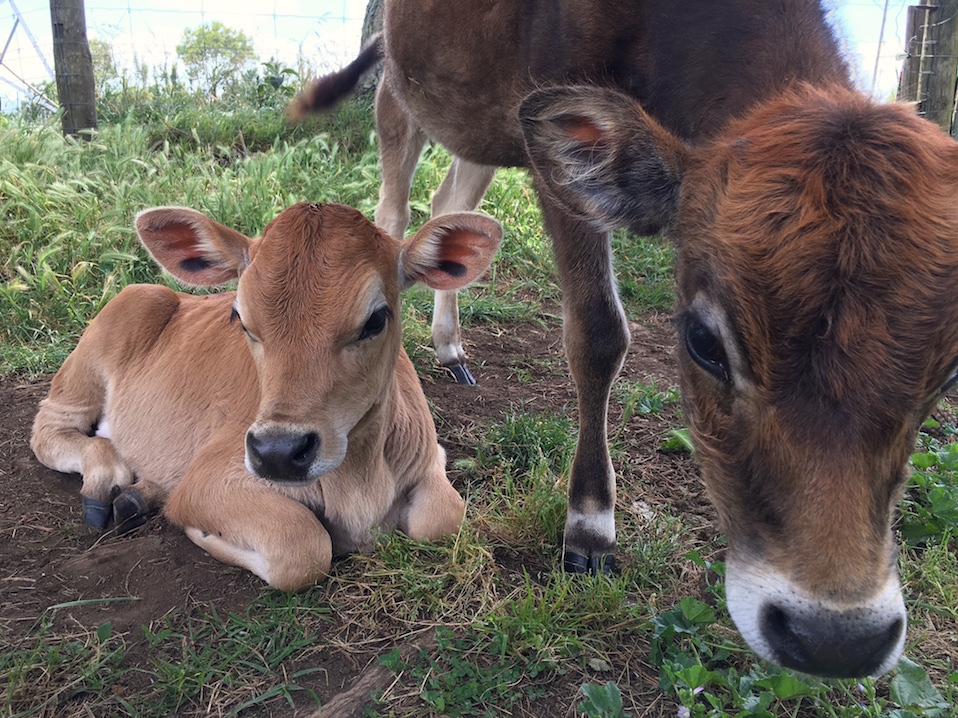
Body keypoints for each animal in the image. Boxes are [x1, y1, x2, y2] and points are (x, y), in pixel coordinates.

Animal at [31, 201, 502, 592]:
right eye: (240, 317)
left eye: (376, 319)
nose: (278, 453)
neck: (361, 480)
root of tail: (168, 292)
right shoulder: (208, 478)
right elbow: (303, 547)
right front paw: (200, 530)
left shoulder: (428, 457)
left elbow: (443, 518)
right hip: (106, 342)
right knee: (51, 428)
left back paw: (138, 495)